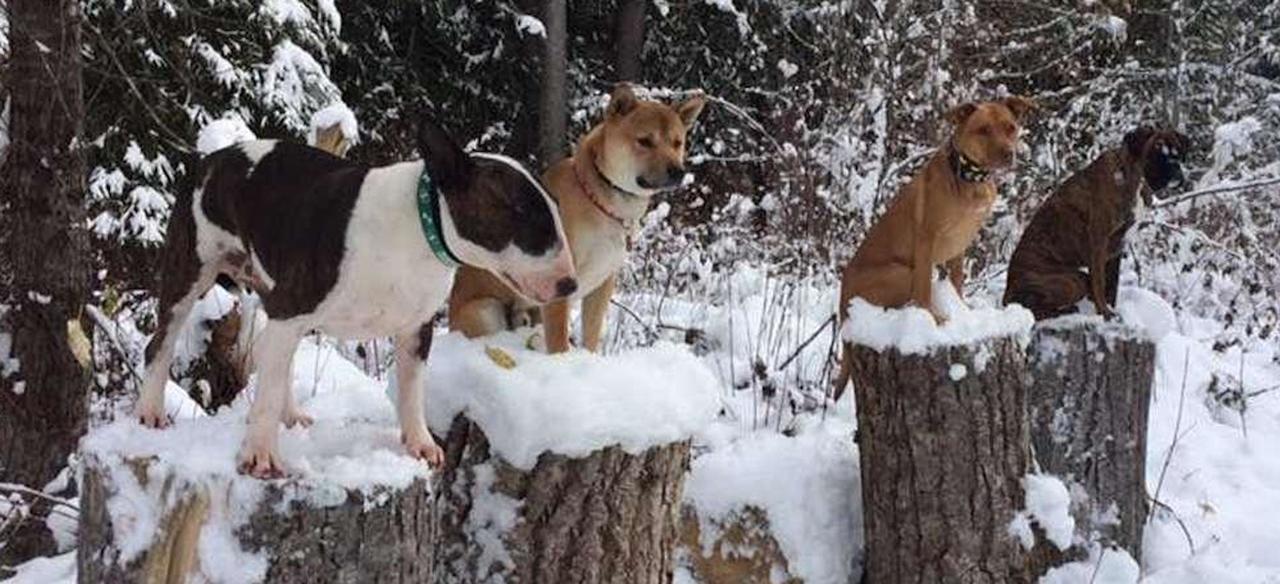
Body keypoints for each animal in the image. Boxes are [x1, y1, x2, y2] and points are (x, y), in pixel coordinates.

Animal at [138, 118, 576, 478]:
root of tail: (211, 158)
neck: (419, 230)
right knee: (162, 343)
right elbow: (265, 395)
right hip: (191, 271)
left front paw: (421, 444)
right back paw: (151, 412)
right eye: (522, 212)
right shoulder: (293, 306)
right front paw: (260, 454)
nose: (569, 285)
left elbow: (412, 389)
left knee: (273, 357)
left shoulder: (415, 329)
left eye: (556, 209)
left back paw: (291, 415)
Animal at [450, 85, 711, 350]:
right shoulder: (560, 280)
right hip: (486, 310)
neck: (601, 201)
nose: (678, 172)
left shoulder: (603, 281)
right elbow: (559, 340)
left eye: (677, 143)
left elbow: (591, 334)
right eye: (645, 141)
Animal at [834, 97, 1034, 399]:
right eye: (983, 130)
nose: (1008, 154)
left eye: (1010, 127)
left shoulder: (960, 245)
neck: (968, 177)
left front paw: (962, 310)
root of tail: (843, 306)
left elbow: (957, 281)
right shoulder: (926, 241)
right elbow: (923, 291)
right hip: (901, 272)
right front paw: (933, 320)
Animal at [998, 126, 1187, 321]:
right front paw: (1105, 312)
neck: (1131, 177)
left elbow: (1112, 285)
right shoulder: (1098, 241)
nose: (1175, 168)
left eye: (1178, 153)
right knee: (1034, 309)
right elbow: (1099, 282)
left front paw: (1111, 309)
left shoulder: (1116, 248)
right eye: (1155, 152)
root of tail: (1008, 291)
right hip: (1072, 282)